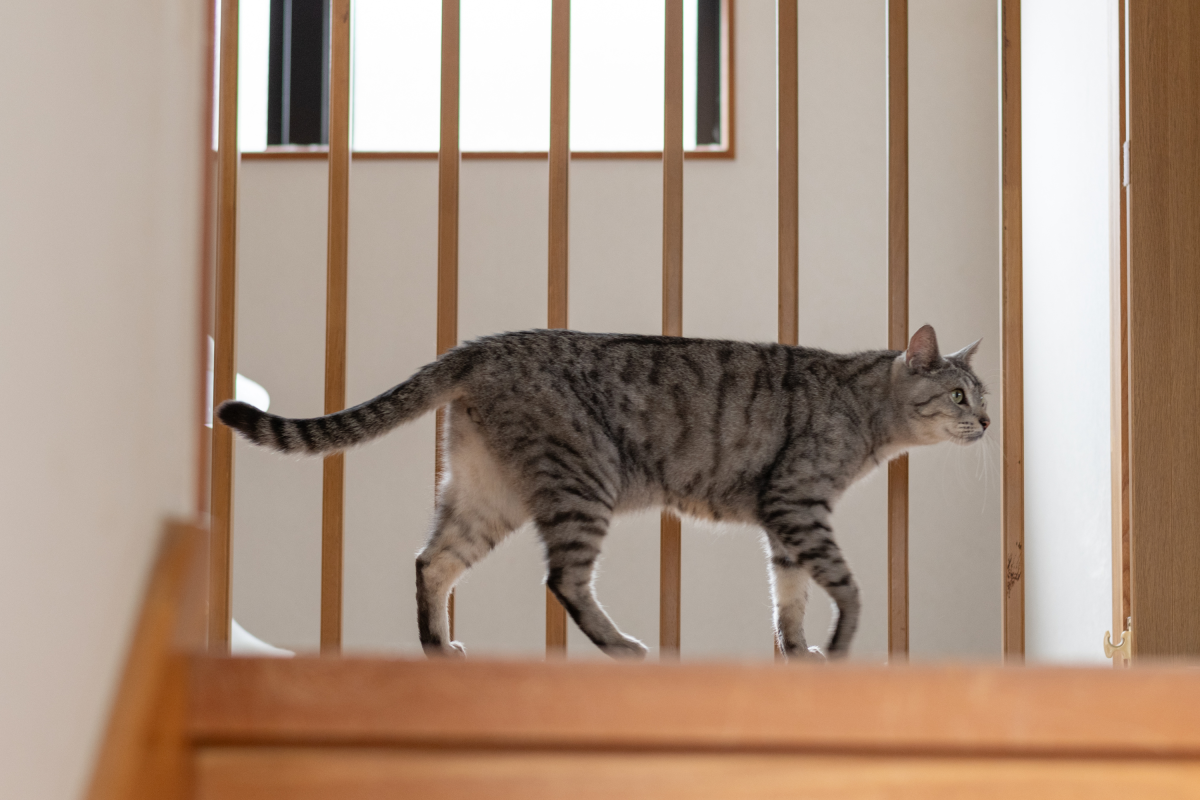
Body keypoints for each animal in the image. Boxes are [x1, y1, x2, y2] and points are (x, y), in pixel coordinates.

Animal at [216, 321, 984, 662]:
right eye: (959, 394)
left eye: (983, 397)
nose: (986, 422)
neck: (863, 407)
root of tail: (481, 345)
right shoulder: (798, 504)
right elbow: (846, 586)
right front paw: (842, 641)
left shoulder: (786, 526)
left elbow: (788, 598)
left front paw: (798, 652)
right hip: (584, 482)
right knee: (563, 579)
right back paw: (622, 646)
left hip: (485, 495)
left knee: (431, 561)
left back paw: (439, 647)